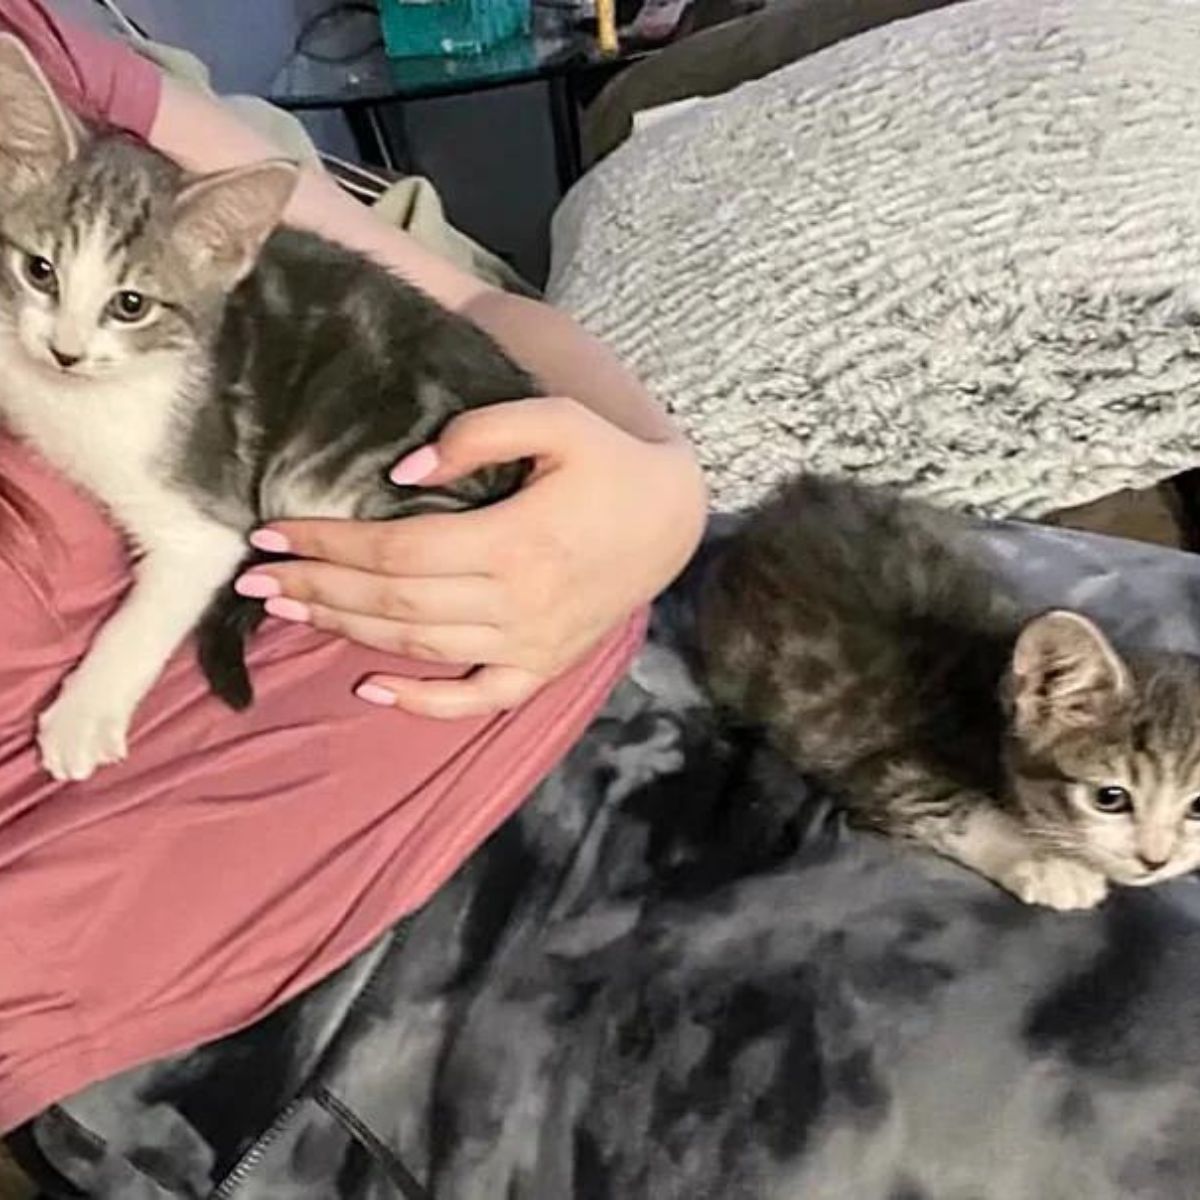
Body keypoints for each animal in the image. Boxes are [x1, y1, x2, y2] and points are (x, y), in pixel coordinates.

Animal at [0, 35, 535, 777]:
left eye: (130, 304)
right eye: (39, 271)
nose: (65, 351)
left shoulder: (205, 508)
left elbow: (162, 596)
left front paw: (83, 713)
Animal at [700, 475, 1200, 907]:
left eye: (1197, 807)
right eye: (1110, 798)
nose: (1155, 860)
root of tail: (796, 493)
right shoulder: (883, 762)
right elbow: (951, 806)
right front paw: (1047, 862)